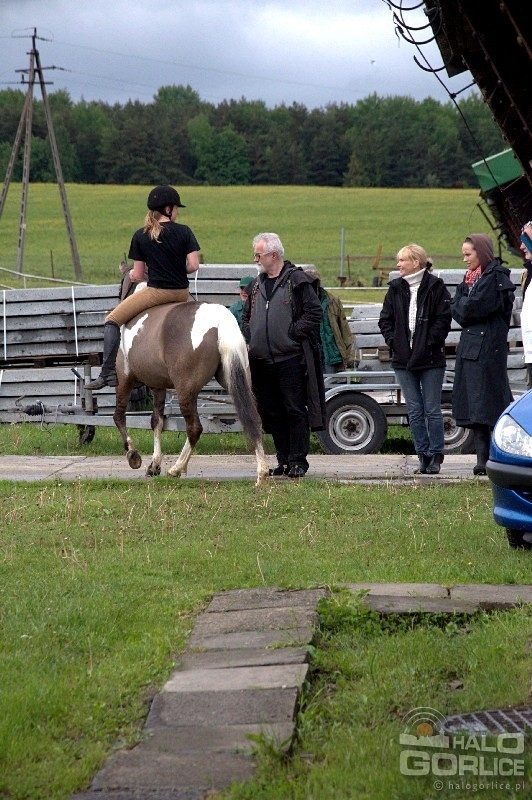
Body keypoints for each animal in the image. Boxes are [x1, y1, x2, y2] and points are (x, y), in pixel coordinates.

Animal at [111, 299, 269, 486]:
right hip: (235, 381)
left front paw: (133, 454)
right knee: (255, 420)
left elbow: (119, 416)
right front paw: (154, 465)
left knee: (194, 428)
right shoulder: (158, 386)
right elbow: (157, 422)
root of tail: (220, 322)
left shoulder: (124, 378)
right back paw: (262, 473)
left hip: (185, 391)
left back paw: (176, 469)